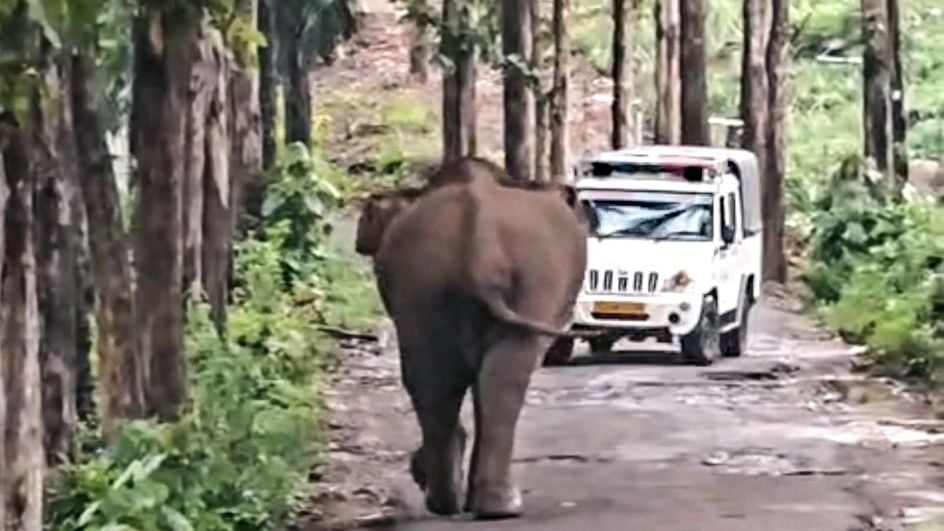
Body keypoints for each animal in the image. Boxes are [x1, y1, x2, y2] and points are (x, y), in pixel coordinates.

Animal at [370, 162, 588, 520]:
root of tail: (478, 245)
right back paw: (493, 505)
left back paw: (452, 502)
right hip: (534, 281)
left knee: (433, 377)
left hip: (423, 285)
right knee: (503, 373)